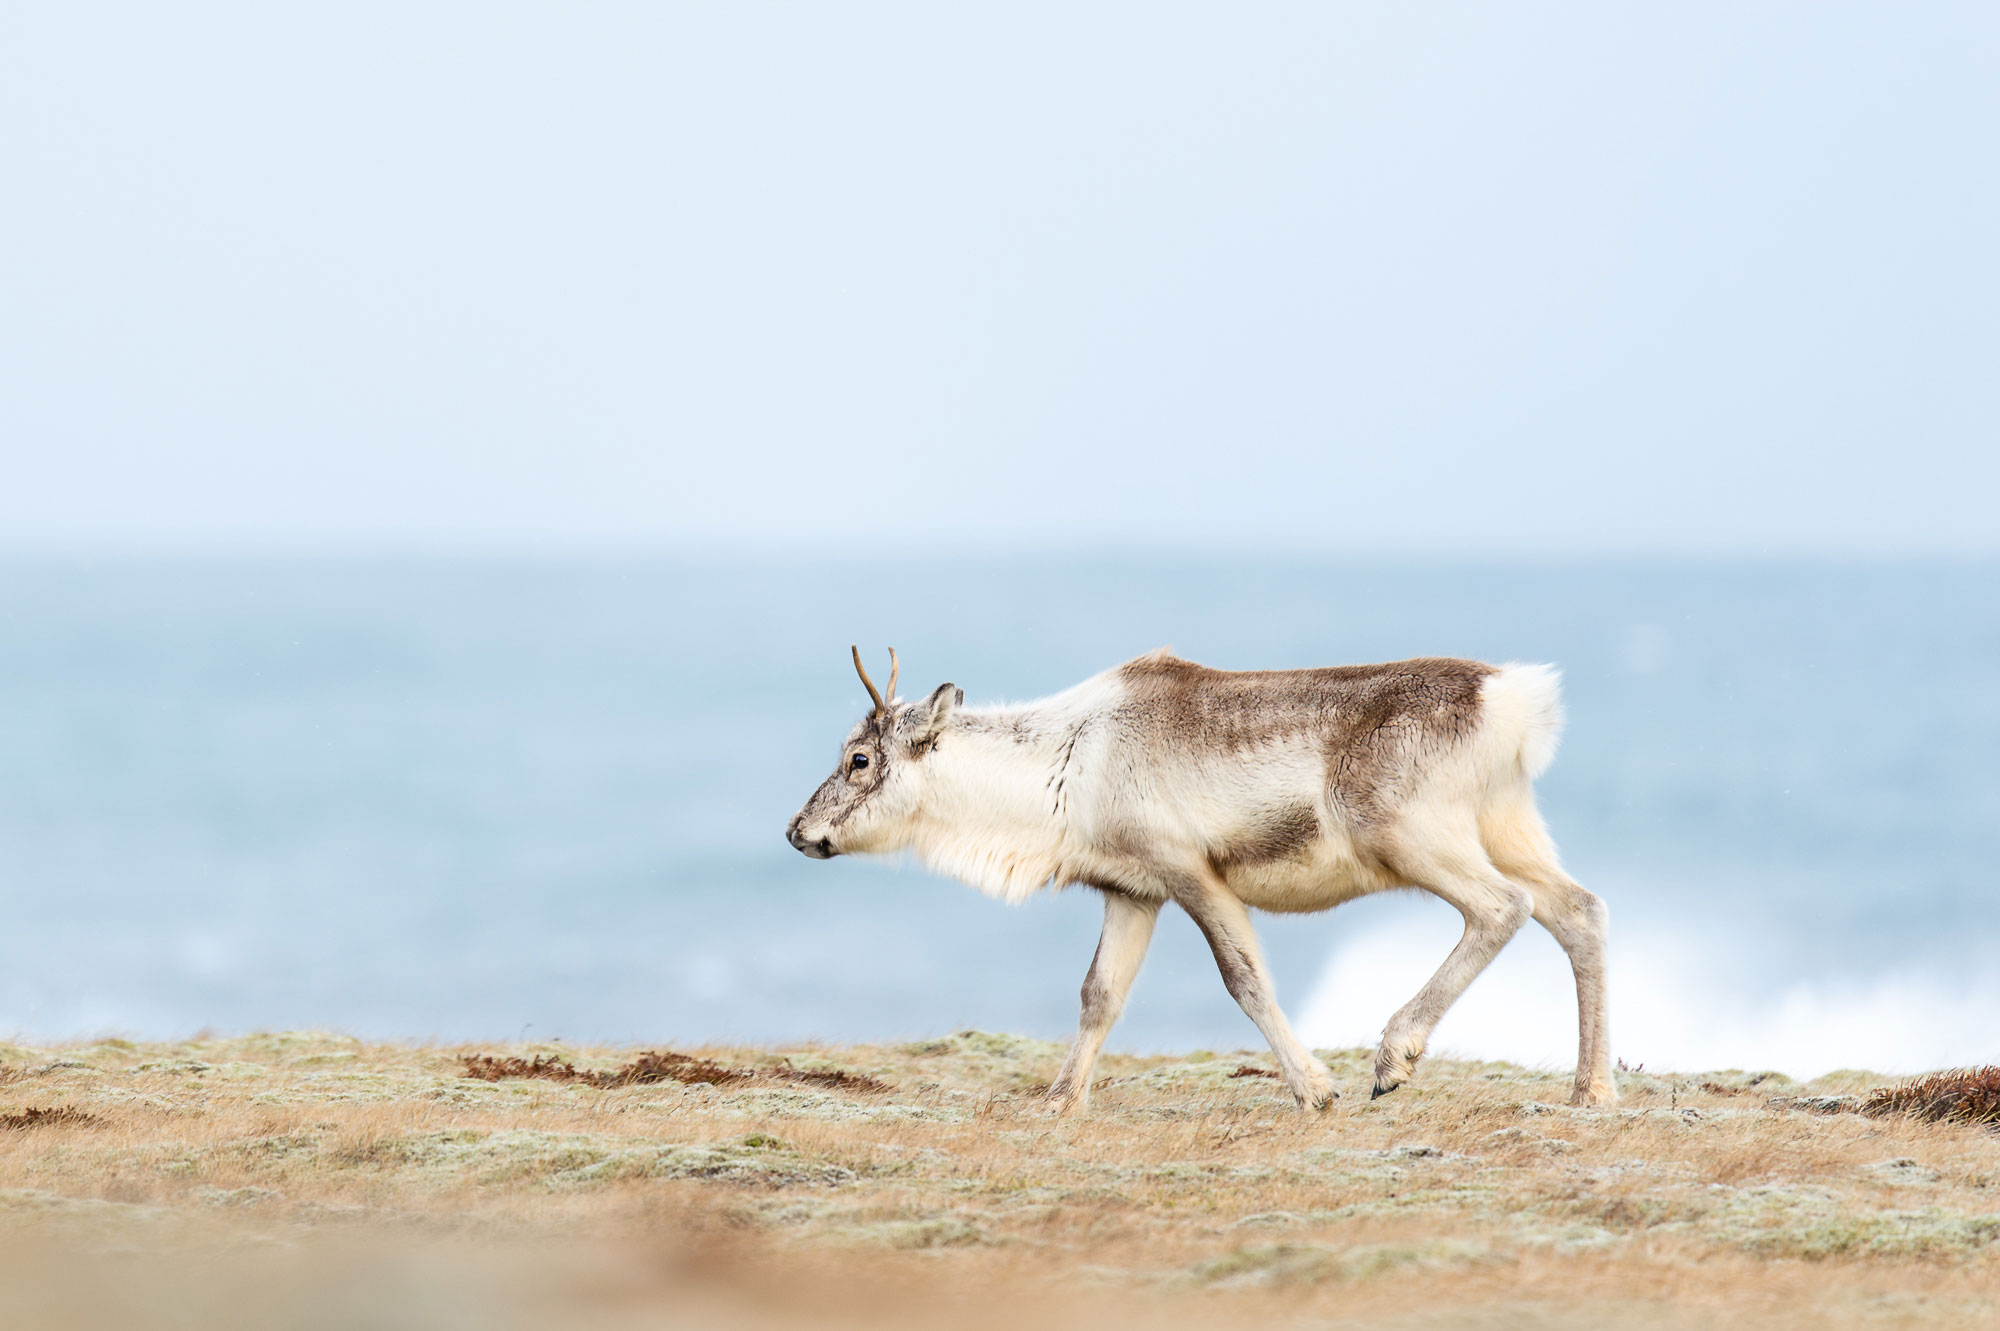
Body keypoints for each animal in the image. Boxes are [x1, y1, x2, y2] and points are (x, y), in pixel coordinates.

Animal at [785, 646, 1613, 1113]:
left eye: (859, 759)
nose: (797, 830)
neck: (1059, 771)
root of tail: (1512, 702)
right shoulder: (1131, 889)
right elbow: (1099, 994)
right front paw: (1057, 1098)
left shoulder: (1188, 868)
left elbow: (1244, 977)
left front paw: (1315, 1089)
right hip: (1507, 823)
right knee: (1580, 908)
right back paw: (1590, 1090)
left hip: (1407, 833)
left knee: (1503, 906)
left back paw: (1394, 1056)